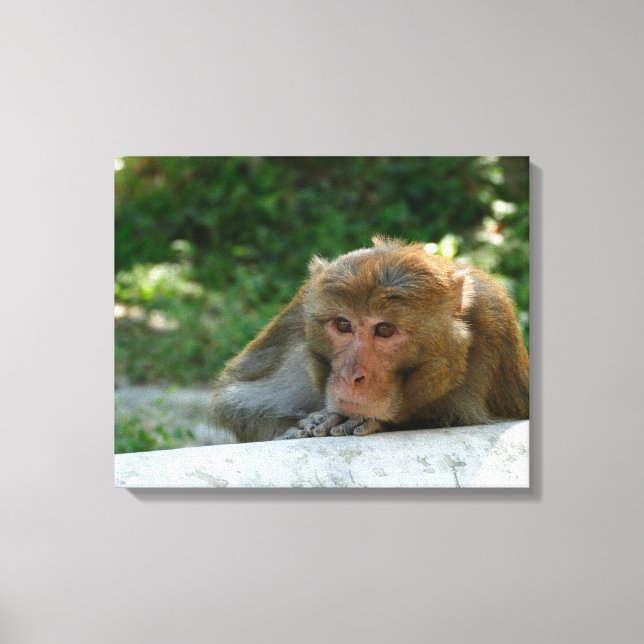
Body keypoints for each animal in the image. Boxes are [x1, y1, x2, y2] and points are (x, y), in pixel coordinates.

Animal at [210, 237, 529, 442]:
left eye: (385, 330)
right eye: (343, 324)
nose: (351, 376)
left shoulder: (493, 317)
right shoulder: (298, 317)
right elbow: (236, 403)